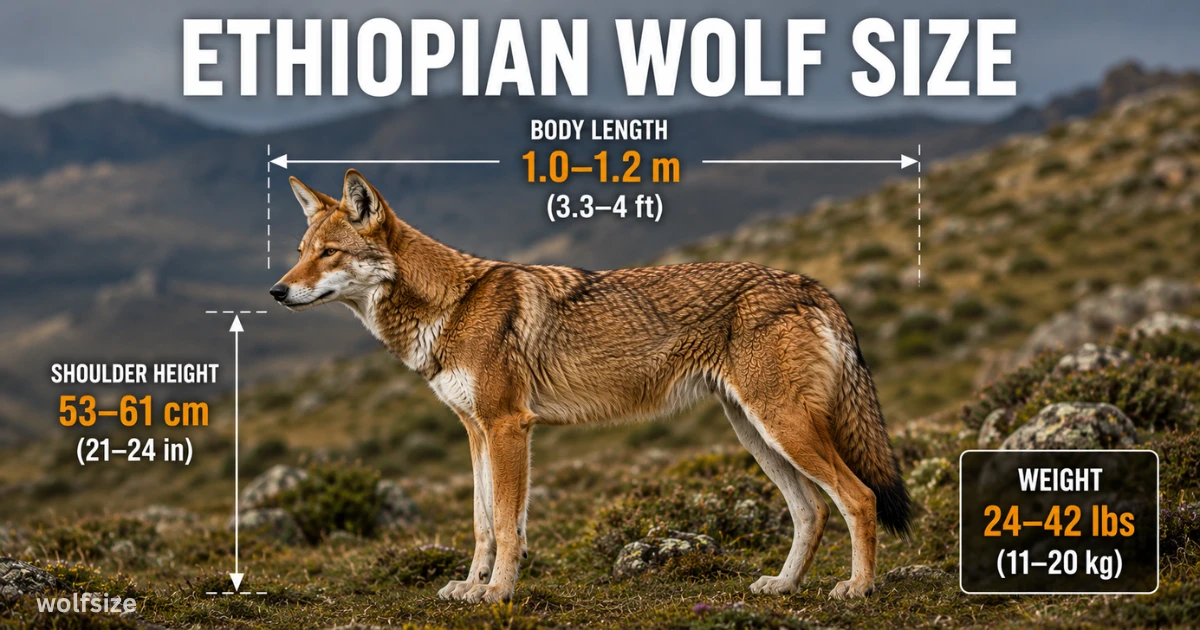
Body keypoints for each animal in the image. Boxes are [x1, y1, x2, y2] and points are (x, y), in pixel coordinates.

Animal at [271, 169, 911, 604]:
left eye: (329, 253)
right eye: (300, 252)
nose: (277, 292)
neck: (452, 307)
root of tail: (811, 285)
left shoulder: (508, 427)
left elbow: (506, 525)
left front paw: (497, 593)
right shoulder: (476, 432)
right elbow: (482, 525)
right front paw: (471, 587)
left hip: (783, 427)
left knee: (859, 498)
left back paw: (857, 588)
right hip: (757, 434)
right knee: (812, 511)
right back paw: (782, 585)